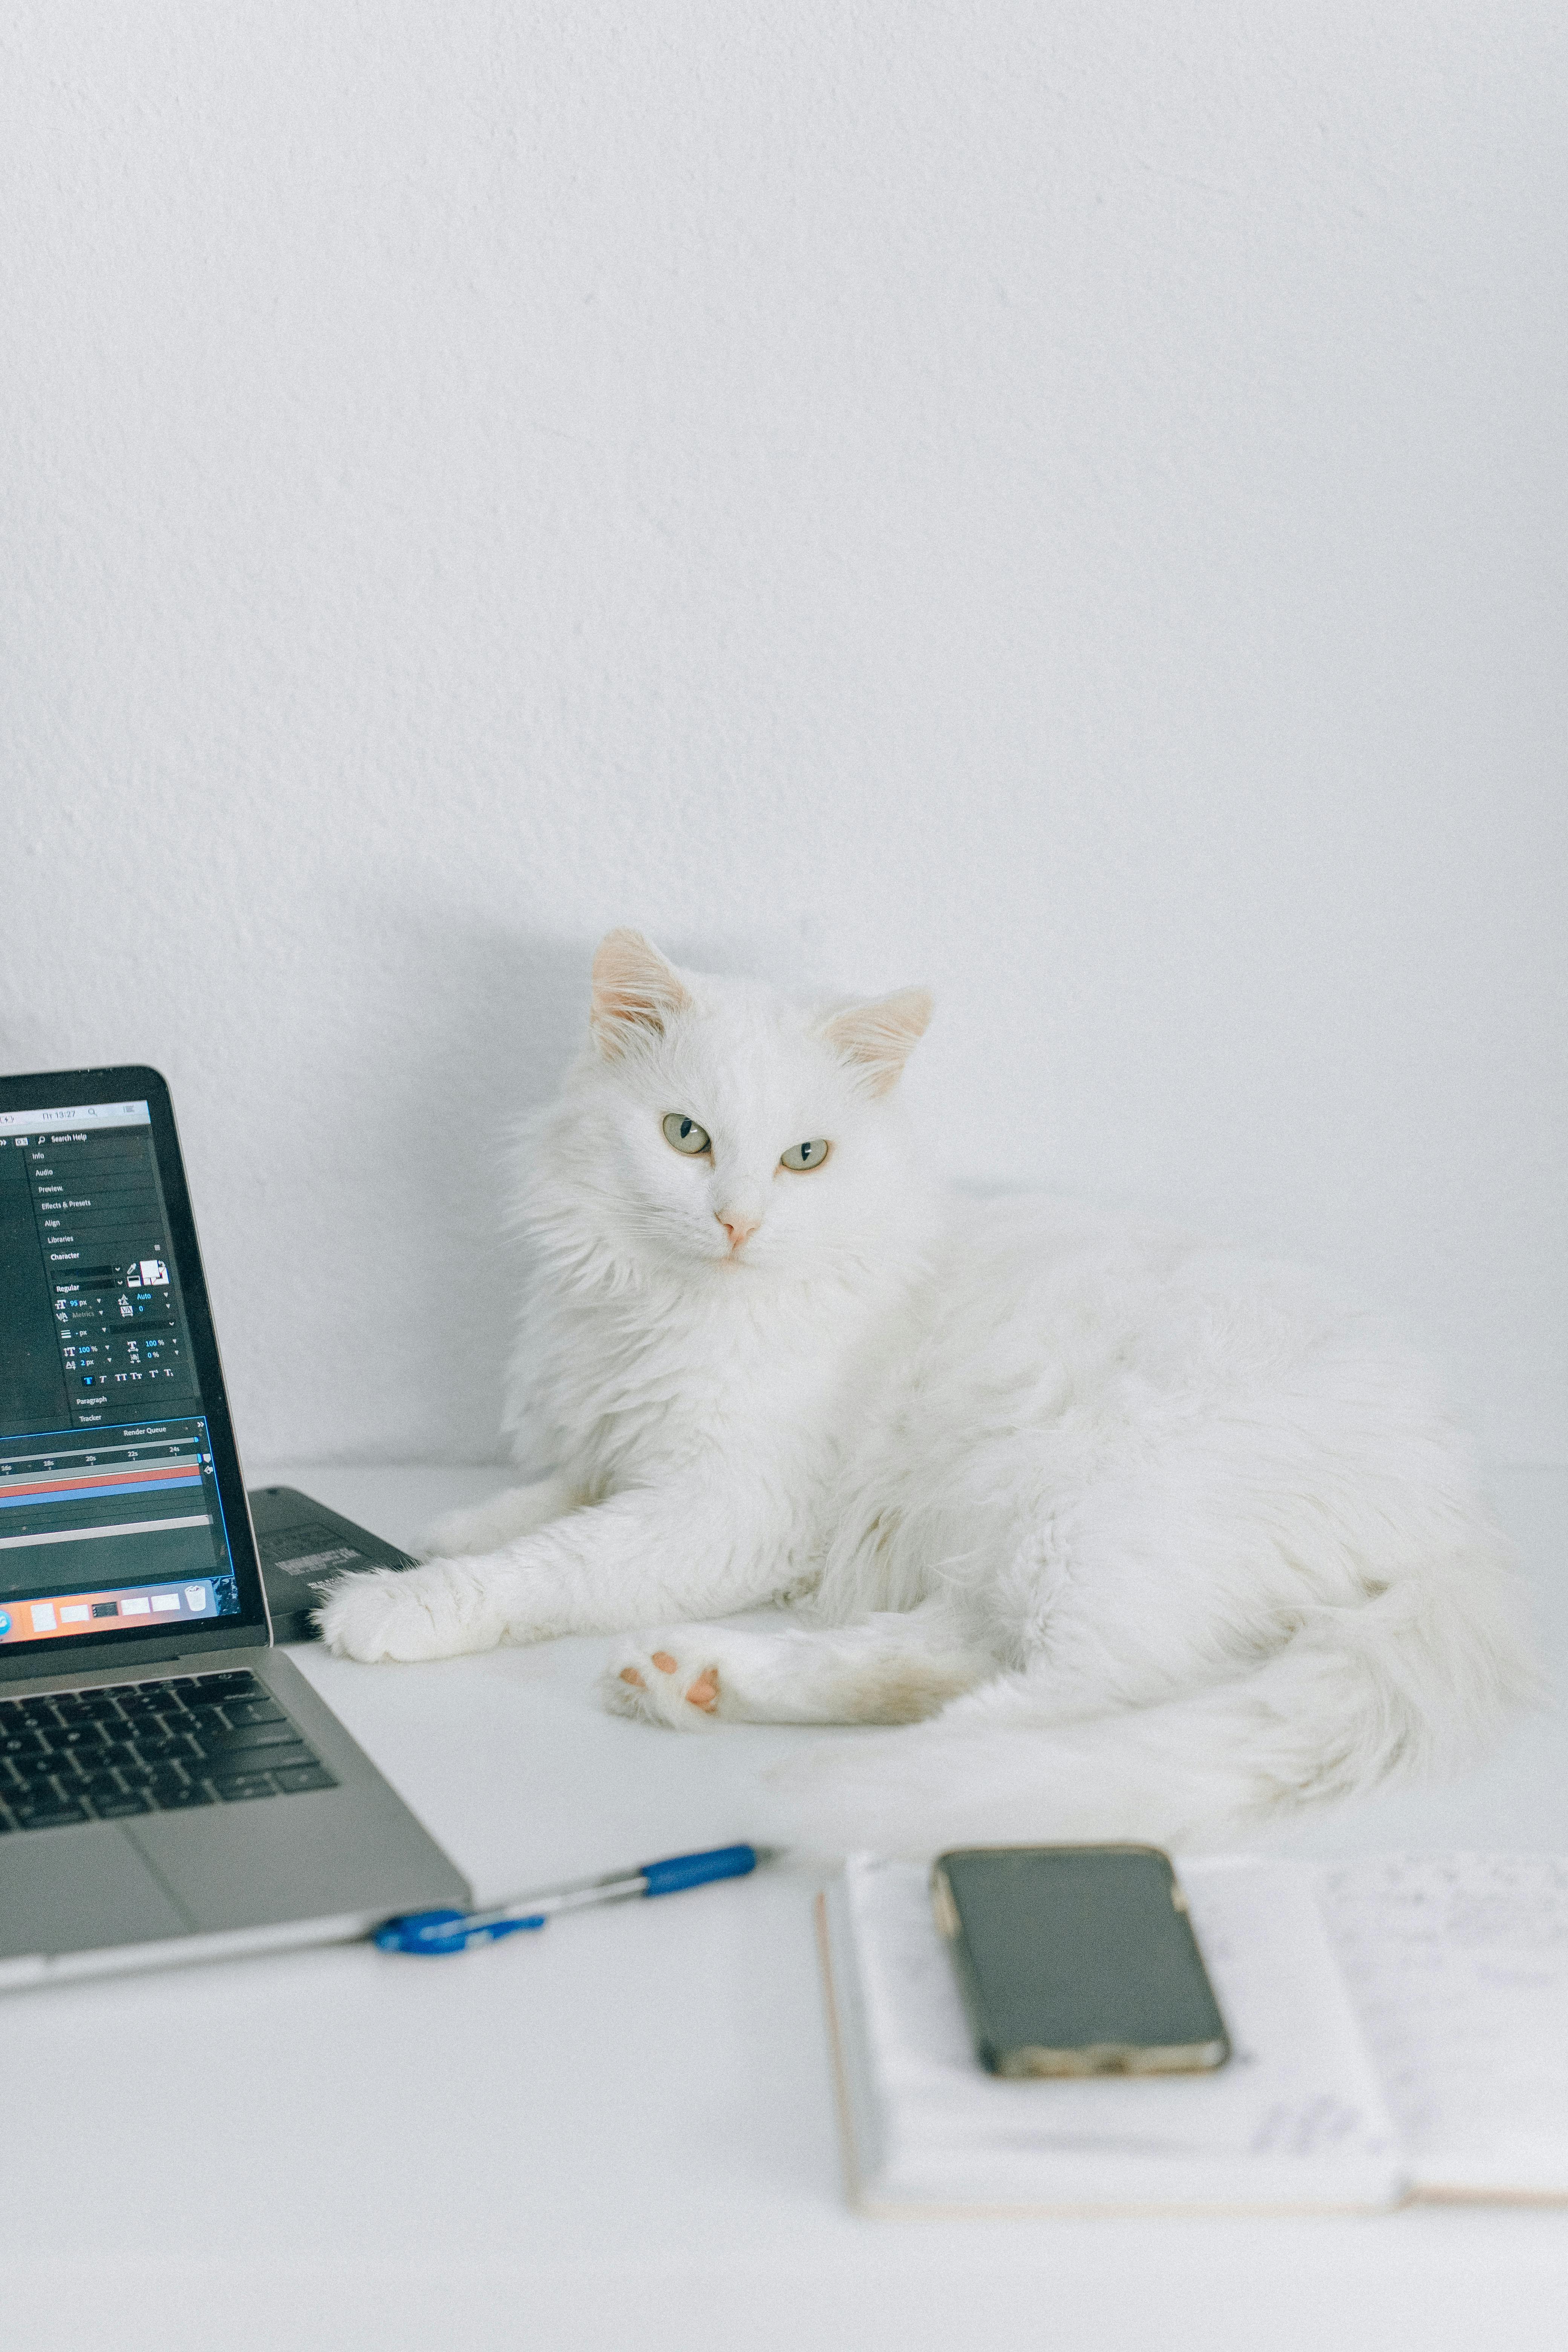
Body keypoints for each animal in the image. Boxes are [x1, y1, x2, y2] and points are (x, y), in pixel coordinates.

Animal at [315, 926, 1533, 1844]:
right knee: (954, 1656)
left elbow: (556, 1559)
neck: (667, 1306)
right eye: (685, 1136)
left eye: (806, 1157)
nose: (737, 1222)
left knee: (1078, 1699)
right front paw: (444, 1530)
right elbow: (550, 1498)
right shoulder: (624, 1442)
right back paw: (696, 1678)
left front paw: (392, 1600)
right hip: (1011, 1539)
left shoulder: (729, 1507)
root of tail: (1466, 1521)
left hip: (1093, 1508)